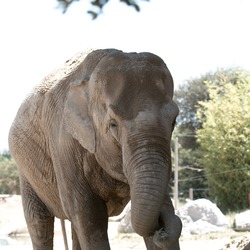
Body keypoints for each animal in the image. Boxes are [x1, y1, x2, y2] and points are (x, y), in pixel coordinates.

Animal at [8, 47, 182, 249]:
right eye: (113, 124)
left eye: (174, 121)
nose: (161, 229)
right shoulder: (63, 143)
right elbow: (87, 212)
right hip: (25, 171)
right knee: (39, 222)